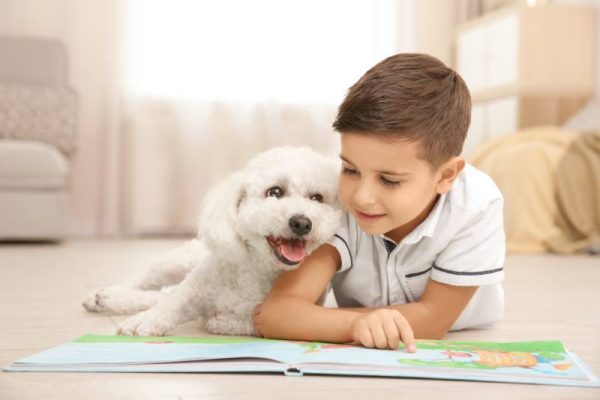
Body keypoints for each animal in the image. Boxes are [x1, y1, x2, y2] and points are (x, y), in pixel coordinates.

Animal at [83, 145, 342, 336]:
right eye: (275, 192)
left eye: (317, 198)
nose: (302, 222)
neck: (257, 271)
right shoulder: (197, 286)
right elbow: (173, 302)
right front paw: (144, 321)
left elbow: (247, 322)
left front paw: (220, 321)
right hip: (175, 261)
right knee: (147, 282)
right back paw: (107, 296)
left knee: (160, 293)